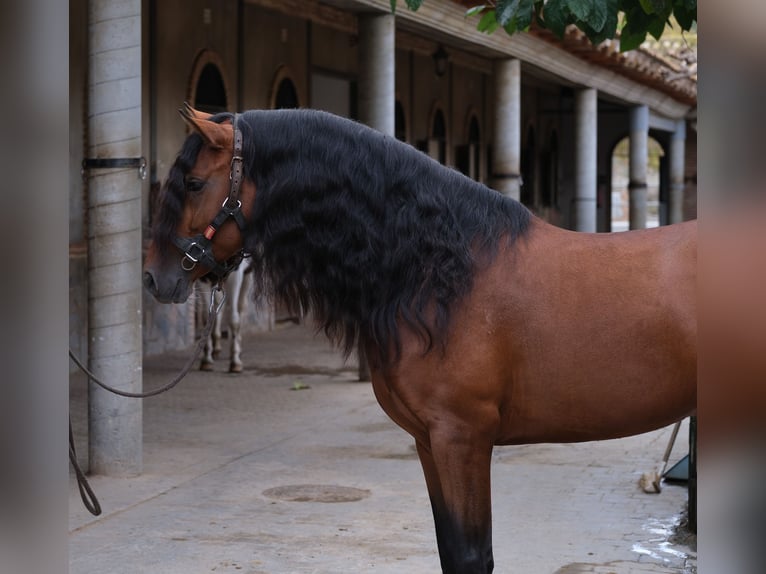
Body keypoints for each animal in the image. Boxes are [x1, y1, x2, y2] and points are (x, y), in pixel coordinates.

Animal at [141, 104, 700, 574]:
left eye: (193, 182)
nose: (154, 278)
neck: (443, 271)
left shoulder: (462, 438)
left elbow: (473, 556)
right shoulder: (429, 442)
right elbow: (451, 552)